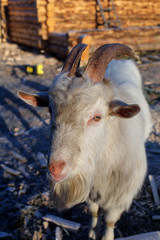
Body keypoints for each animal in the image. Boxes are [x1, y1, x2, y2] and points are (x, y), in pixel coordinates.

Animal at [17, 43, 151, 240]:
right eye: (50, 110)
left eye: (97, 117)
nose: (55, 168)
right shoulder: (91, 191)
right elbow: (94, 211)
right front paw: (93, 232)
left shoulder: (120, 197)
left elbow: (110, 220)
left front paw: (106, 236)